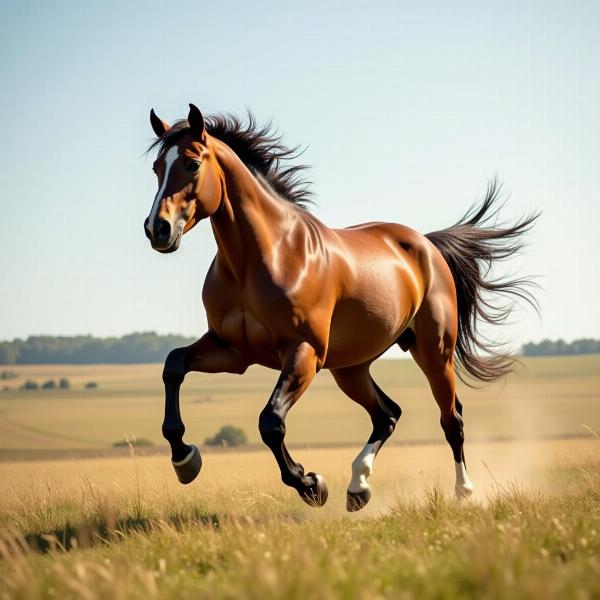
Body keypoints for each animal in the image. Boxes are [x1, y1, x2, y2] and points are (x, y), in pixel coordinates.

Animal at [143, 103, 536, 510]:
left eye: (192, 164)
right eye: (156, 167)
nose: (157, 229)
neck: (263, 258)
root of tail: (427, 245)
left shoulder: (305, 352)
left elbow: (271, 422)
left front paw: (310, 484)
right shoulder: (234, 350)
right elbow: (173, 365)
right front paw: (185, 460)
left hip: (433, 352)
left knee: (451, 419)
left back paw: (463, 492)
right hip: (351, 367)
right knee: (387, 415)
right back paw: (358, 487)